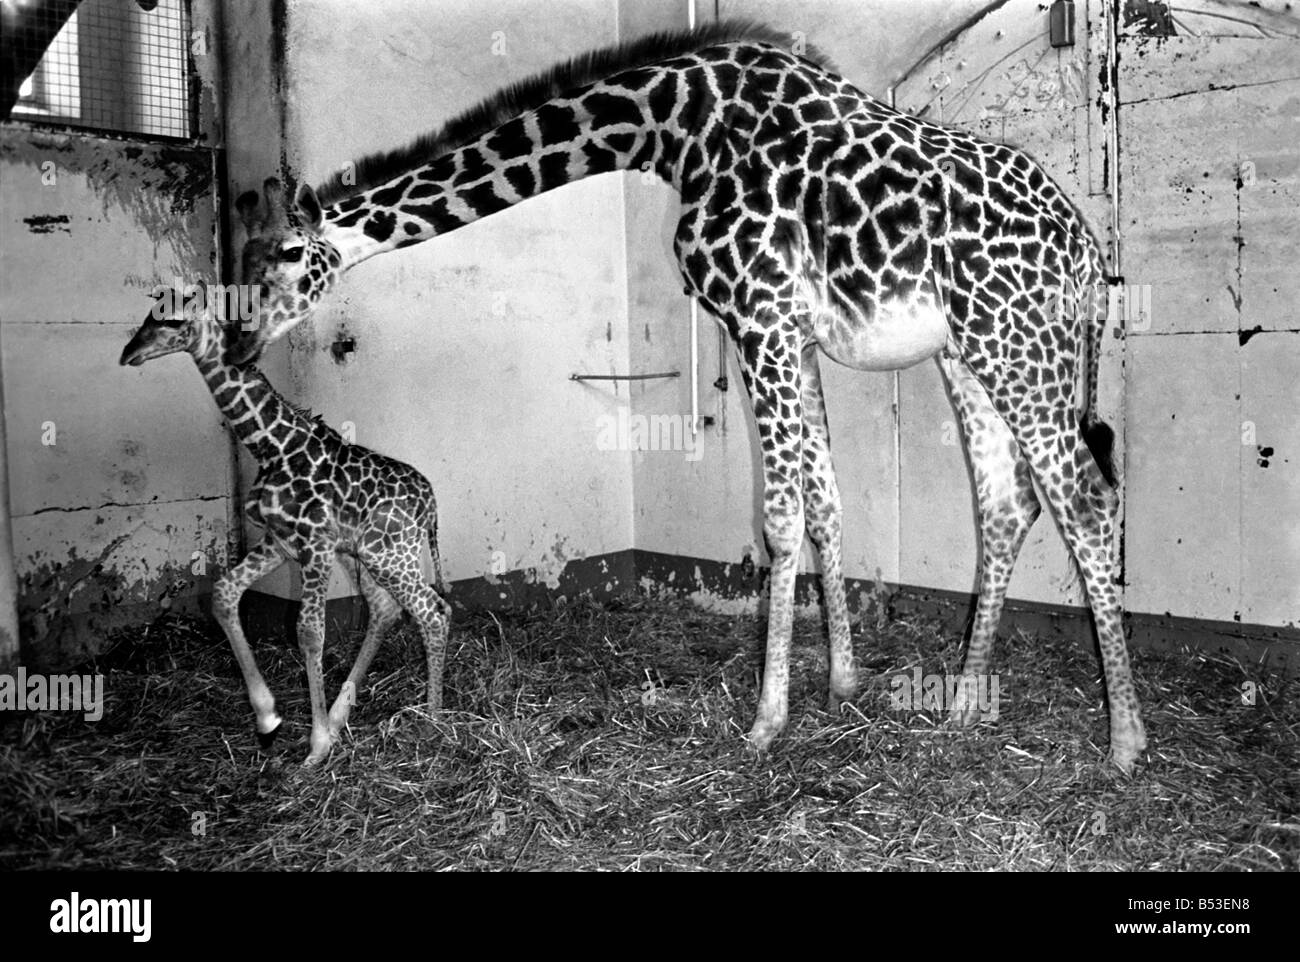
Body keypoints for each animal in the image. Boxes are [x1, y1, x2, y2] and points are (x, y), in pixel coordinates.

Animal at [119, 289, 452, 764]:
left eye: (173, 320)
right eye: (150, 313)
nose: (129, 353)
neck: (272, 446)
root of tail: (432, 505)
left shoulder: (314, 545)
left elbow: (310, 633)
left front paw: (316, 746)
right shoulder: (280, 541)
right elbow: (223, 593)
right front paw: (268, 718)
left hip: (391, 554)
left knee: (433, 611)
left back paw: (433, 718)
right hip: (364, 554)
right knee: (387, 609)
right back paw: (343, 715)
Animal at [228, 18, 1144, 769]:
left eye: (283, 257)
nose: (239, 341)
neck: (671, 130)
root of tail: (1087, 251)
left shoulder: (759, 316)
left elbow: (781, 516)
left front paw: (768, 721)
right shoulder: (789, 333)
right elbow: (828, 498)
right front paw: (843, 682)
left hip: (1015, 341)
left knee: (1087, 500)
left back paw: (1126, 741)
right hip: (969, 352)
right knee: (1007, 502)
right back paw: (963, 709)